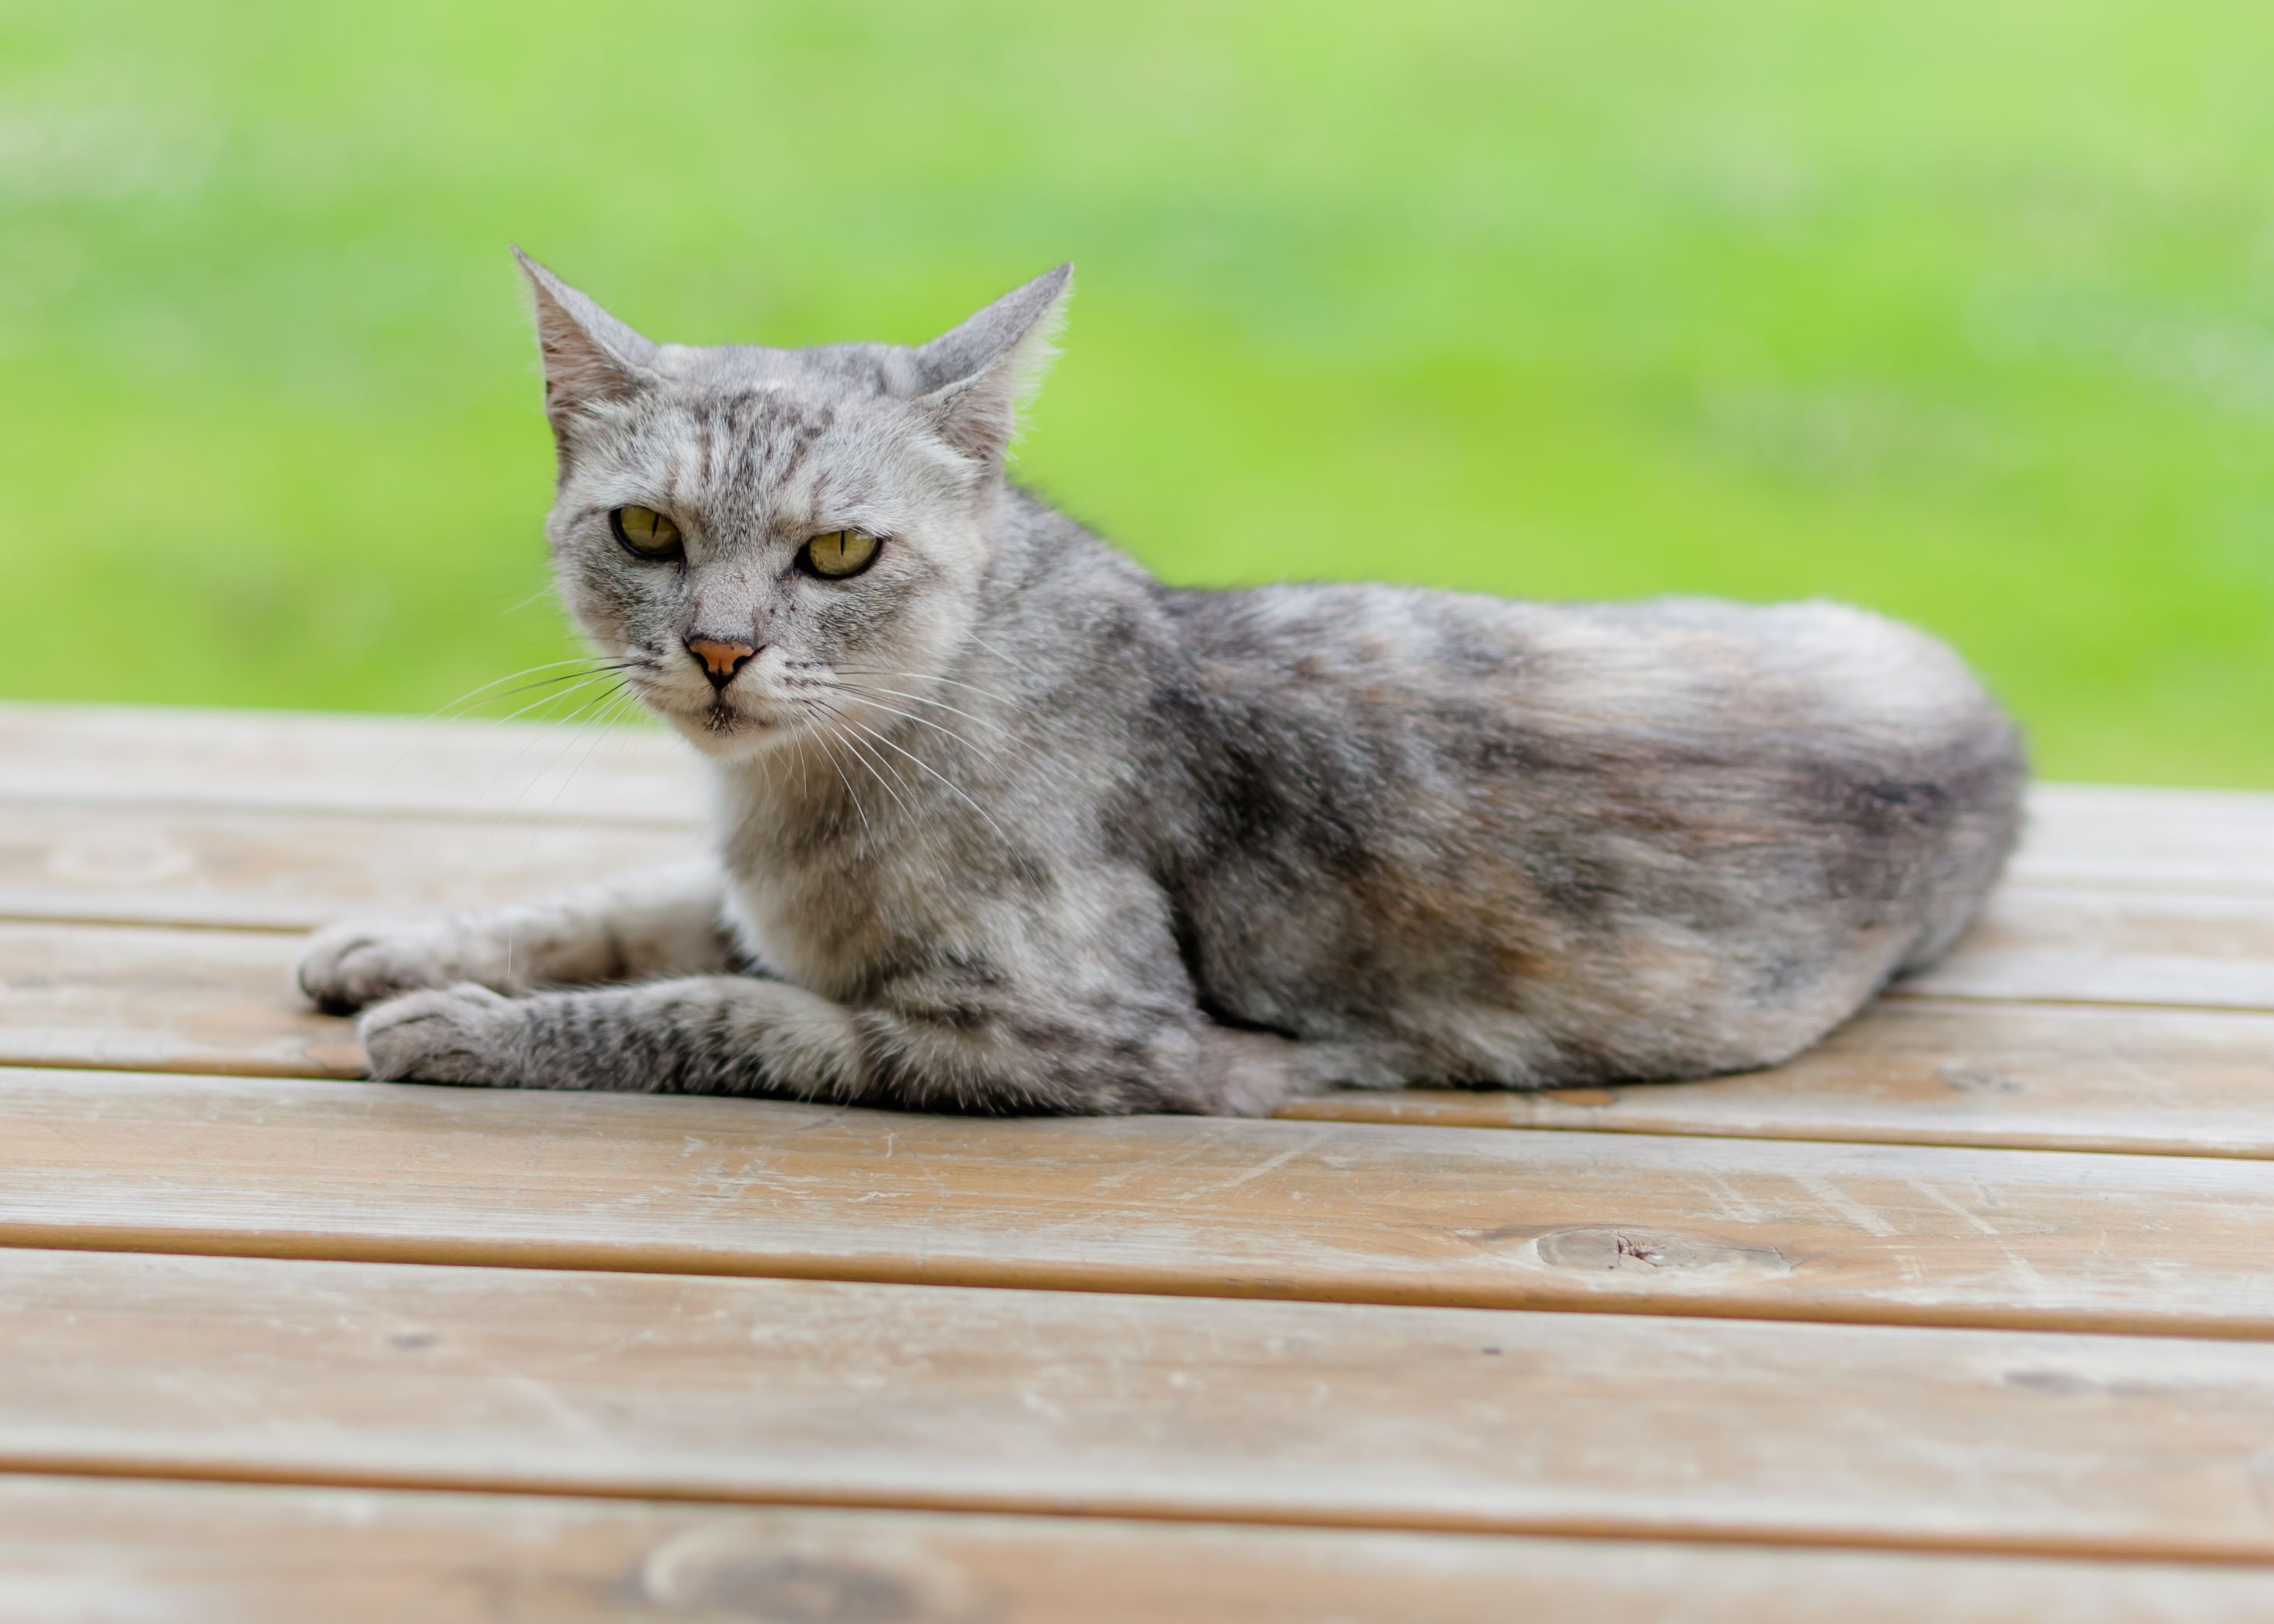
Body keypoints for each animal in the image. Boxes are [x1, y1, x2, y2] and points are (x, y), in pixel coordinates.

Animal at [297, 252, 2028, 1114]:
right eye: (647, 531)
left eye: (840, 555)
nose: (718, 649)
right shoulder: (734, 885)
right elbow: (619, 905)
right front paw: (402, 946)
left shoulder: (1093, 1037)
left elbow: (733, 1007)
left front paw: (460, 1025)